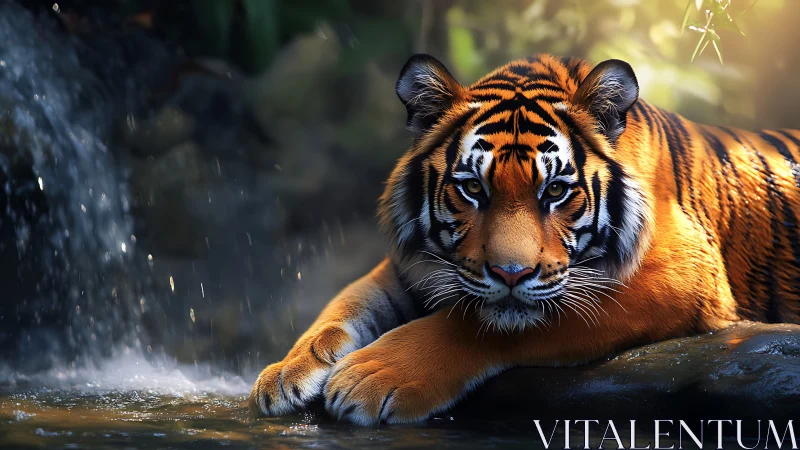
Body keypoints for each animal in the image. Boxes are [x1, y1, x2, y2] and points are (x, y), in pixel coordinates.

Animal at [249, 53, 800, 425]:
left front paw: (370, 377)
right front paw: (285, 372)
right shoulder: (411, 268)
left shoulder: (681, 274)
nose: (510, 274)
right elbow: (343, 306)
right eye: (473, 188)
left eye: (555, 191)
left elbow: (479, 323)